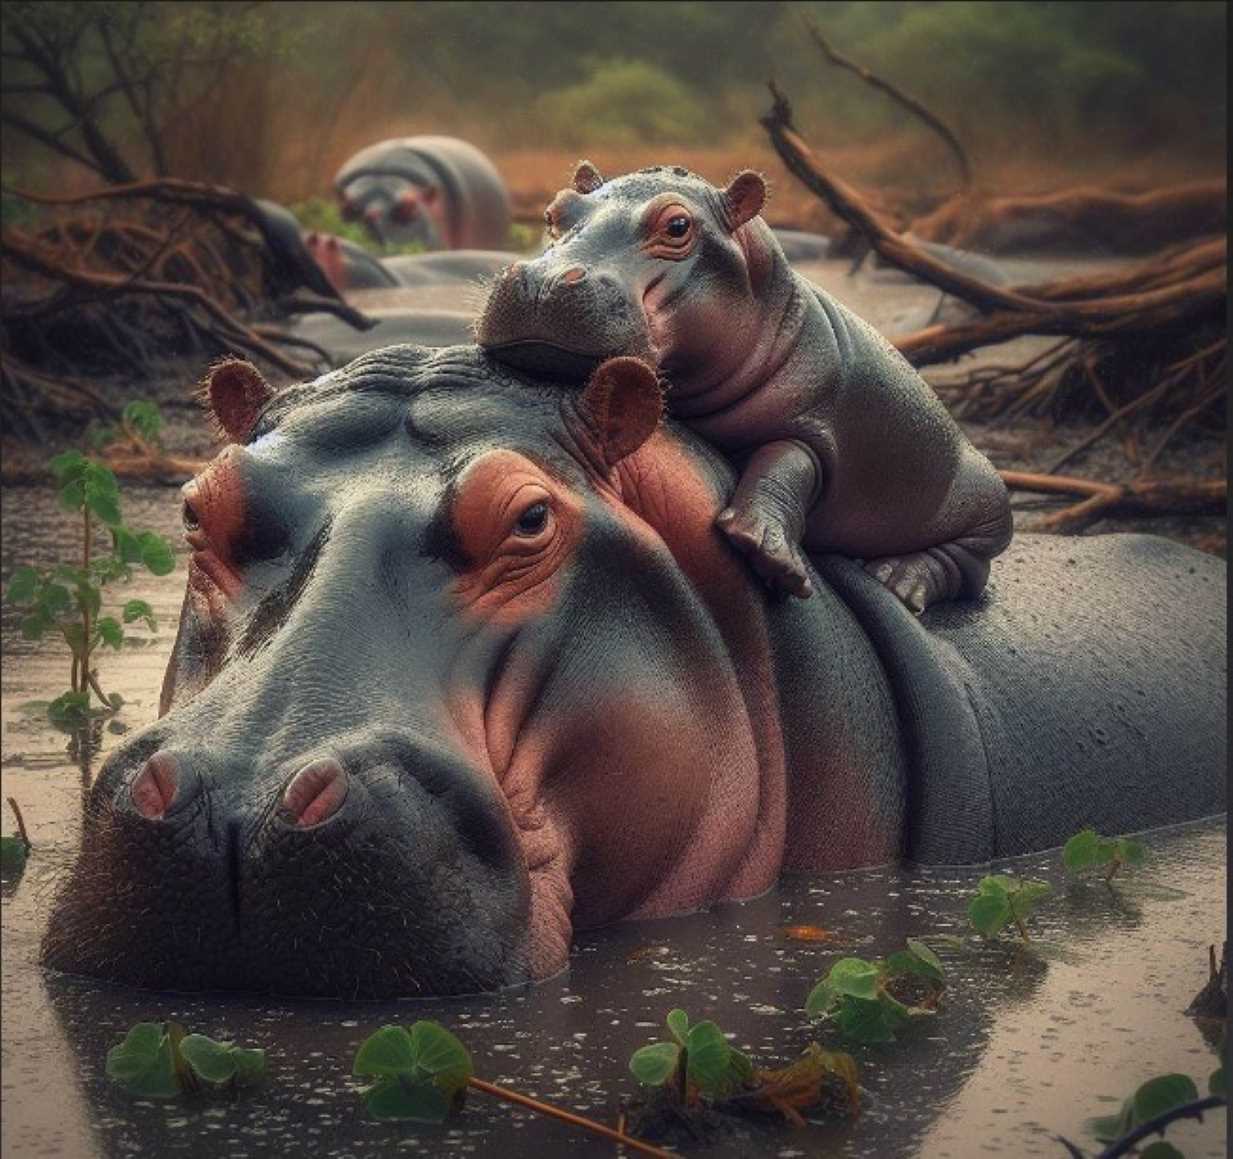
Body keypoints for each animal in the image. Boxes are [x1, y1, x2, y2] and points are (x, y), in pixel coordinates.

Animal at [473, 167, 1011, 616]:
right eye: (555, 212)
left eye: (677, 226)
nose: (542, 281)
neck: (771, 298)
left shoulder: (811, 425)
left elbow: (786, 466)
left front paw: (771, 557)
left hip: (985, 504)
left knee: (965, 565)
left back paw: (897, 581)